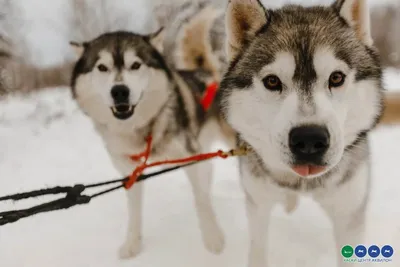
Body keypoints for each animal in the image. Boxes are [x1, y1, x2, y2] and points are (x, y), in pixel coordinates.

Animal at [69, 29, 225, 260]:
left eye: (135, 65)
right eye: (102, 67)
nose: (119, 91)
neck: (142, 130)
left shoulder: (190, 157)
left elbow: (202, 201)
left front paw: (213, 236)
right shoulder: (131, 174)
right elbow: (134, 213)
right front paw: (132, 244)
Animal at [222, 0, 384, 266]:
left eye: (336, 77)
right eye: (272, 81)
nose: (309, 139)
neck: (300, 183)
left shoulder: (349, 212)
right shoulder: (258, 203)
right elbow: (258, 249)